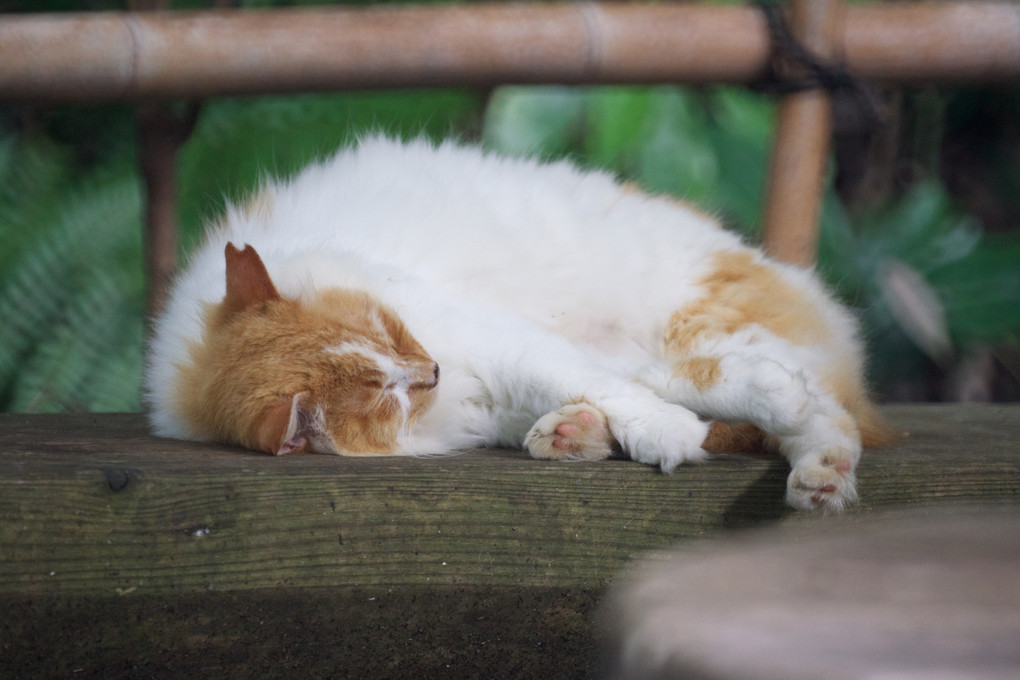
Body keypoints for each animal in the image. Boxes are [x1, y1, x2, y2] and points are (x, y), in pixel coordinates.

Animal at [145, 136, 893, 509]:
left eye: (388, 326)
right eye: (386, 396)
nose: (431, 370)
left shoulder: (505, 344)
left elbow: (645, 395)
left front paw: (667, 436)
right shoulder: (495, 382)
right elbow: (612, 395)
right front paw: (605, 430)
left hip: (693, 329)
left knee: (811, 404)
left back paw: (818, 473)